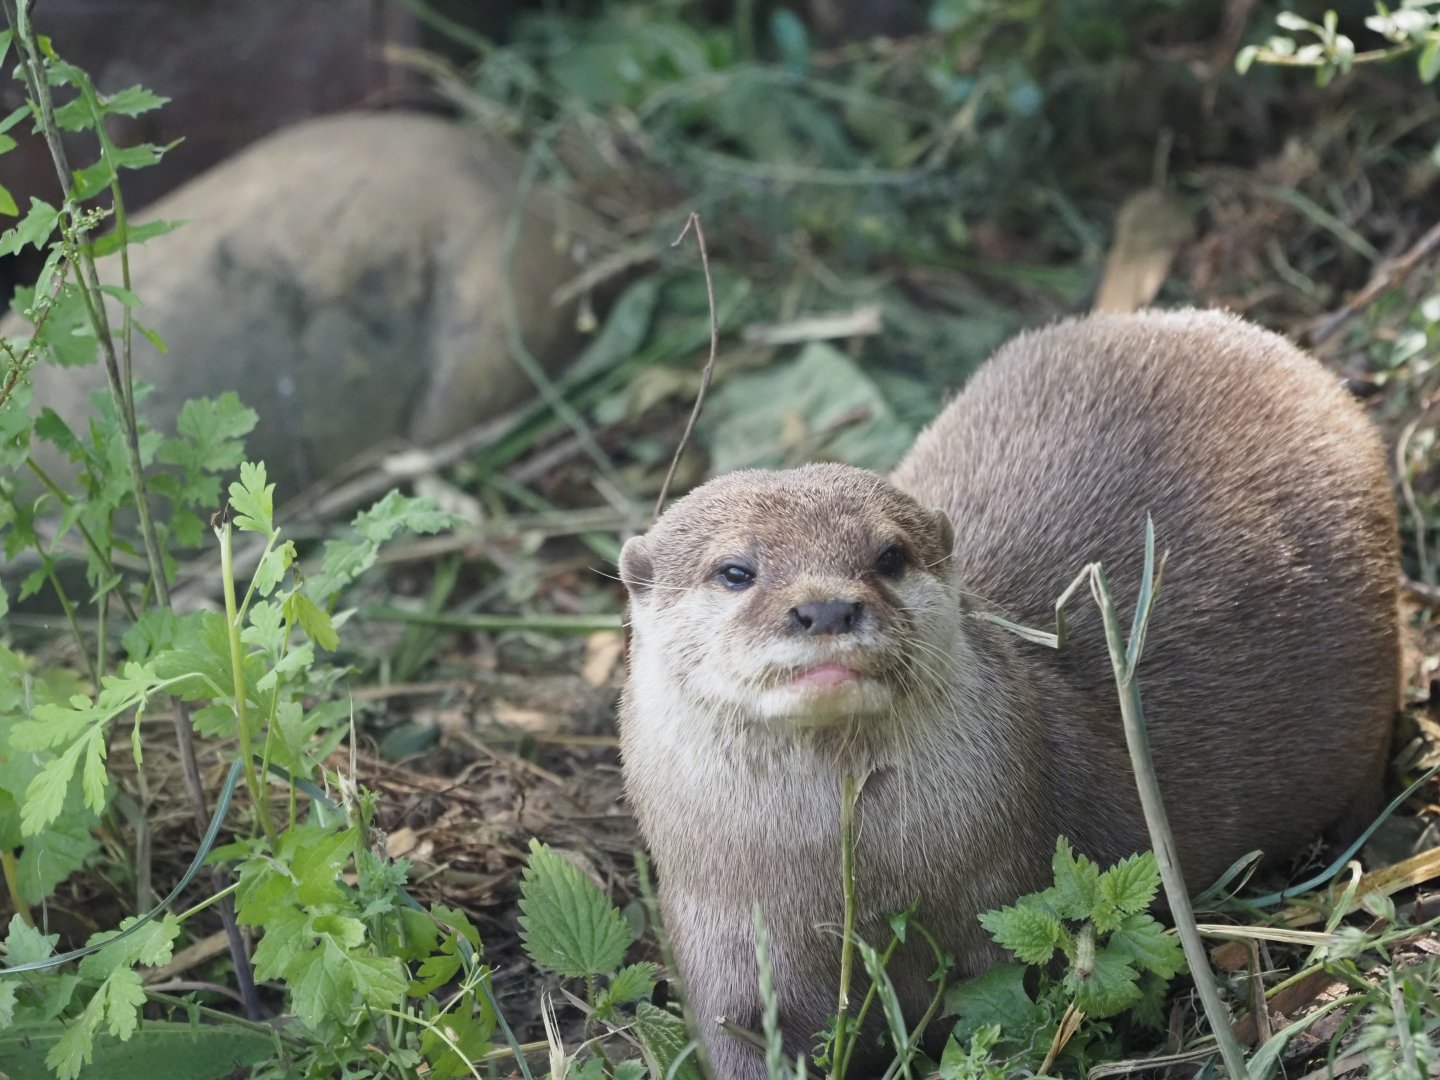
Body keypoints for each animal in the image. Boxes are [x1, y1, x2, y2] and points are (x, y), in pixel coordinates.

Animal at [617, 309, 1399, 1078]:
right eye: (735, 570)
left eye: (889, 556)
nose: (826, 608)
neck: (852, 886)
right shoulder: (722, 944)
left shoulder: (1008, 890)